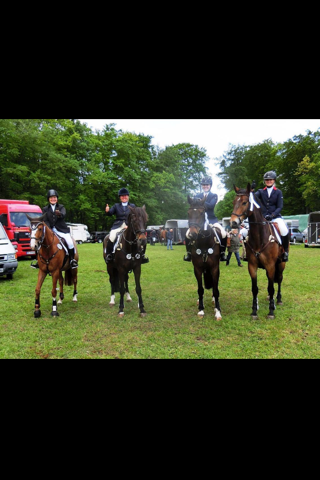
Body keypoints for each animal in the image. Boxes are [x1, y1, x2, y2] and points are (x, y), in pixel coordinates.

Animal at [230, 184, 288, 318]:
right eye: (234, 202)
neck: (259, 237)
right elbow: (255, 288)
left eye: (244, 202)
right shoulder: (252, 266)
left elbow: (271, 287)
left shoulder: (271, 265)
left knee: (279, 279)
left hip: (281, 264)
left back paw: (278, 299)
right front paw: (254, 311)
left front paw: (271, 311)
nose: (233, 222)